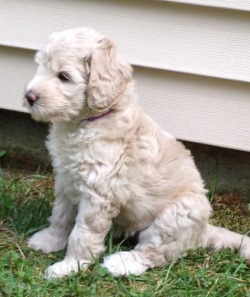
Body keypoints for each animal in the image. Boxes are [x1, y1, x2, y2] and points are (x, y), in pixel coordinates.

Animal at [23, 26, 250, 276]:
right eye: (41, 66)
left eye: (64, 76)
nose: (29, 96)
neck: (83, 123)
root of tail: (203, 230)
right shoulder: (66, 180)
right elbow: (60, 216)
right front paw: (49, 241)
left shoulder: (98, 194)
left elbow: (82, 233)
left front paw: (70, 266)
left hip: (177, 215)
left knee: (154, 252)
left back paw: (122, 263)